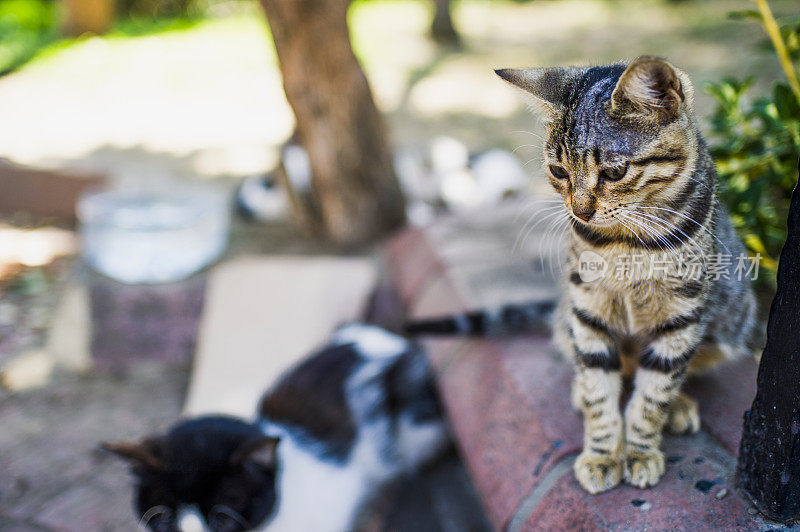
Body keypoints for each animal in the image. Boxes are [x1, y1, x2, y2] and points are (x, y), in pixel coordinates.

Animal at [410, 56, 760, 492]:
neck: (626, 245)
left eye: (614, 172)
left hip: (730, 324)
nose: (580, 211)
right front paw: (602, 454)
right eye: (558, 171)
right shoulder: (587, 308)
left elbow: (652, 395)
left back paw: (677, 405)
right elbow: (599, 392)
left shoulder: (682, 315)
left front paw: (640, 451)